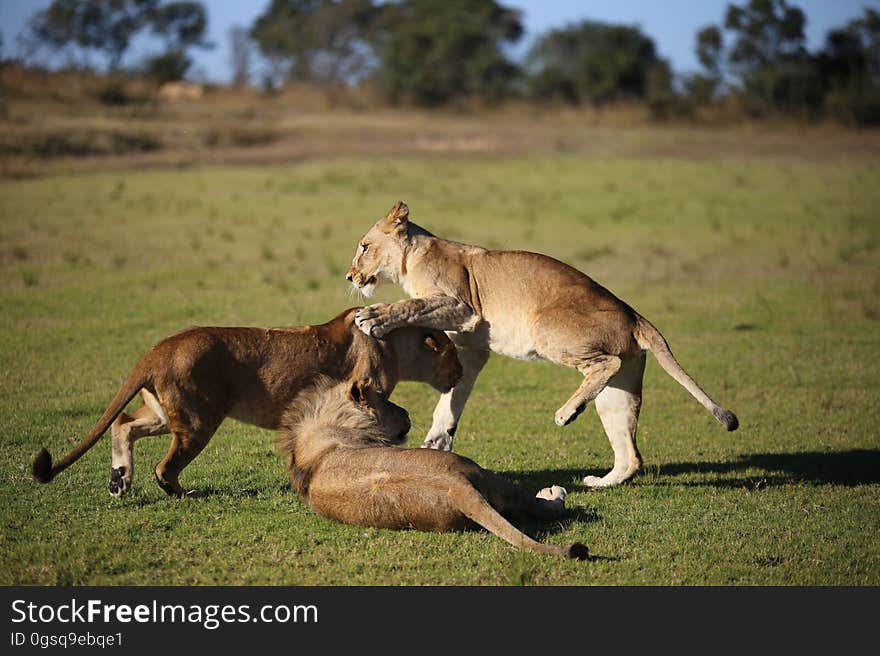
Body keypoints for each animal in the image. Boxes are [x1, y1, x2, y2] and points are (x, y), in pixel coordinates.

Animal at [29, 308, 460, 498]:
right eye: (453, 355)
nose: (458, 375)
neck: (394, 344)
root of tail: (157, 349)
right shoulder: (365, 391)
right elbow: (379, 419)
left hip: (165, 413)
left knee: (123, 425)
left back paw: (119, 481)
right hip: (197, 419)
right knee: (164, 467)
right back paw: (180, 494)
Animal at [278, 380, 588, 560]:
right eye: (386, 400)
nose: (407, 413)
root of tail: (455, 486)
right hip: (484, 472)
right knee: (540, 506)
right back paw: (553, 493)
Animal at [348, 202, 740, 490]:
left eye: (365, 246)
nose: (350, 276)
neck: (410, 260)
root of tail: (634, 314)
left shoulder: (463, 307)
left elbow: (411, 305)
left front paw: (374, 317)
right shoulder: (471, 348)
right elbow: (451, 399)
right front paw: (437, 441)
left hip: (545, 328)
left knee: (605, 363)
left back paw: (567, 412)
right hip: (619, 391)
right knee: (631, 456)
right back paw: (600, 481)